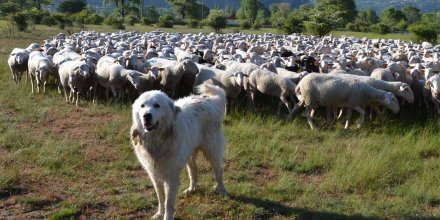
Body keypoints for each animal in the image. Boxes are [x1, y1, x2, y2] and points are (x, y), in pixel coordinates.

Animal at [130, 83, 227, 219]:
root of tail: (211, 101)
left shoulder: (171, 178)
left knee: (219, 171)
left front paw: (167, 217)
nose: (146, 116)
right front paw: (159, 214)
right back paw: (191, 189)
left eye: (157, 105)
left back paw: (221, 190)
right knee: (193, 171)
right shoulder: (155, 175)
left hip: (212, 150)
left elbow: (168, 203)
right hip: (189, 154)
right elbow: (160, 198)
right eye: (142, 106)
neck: (158, 141)